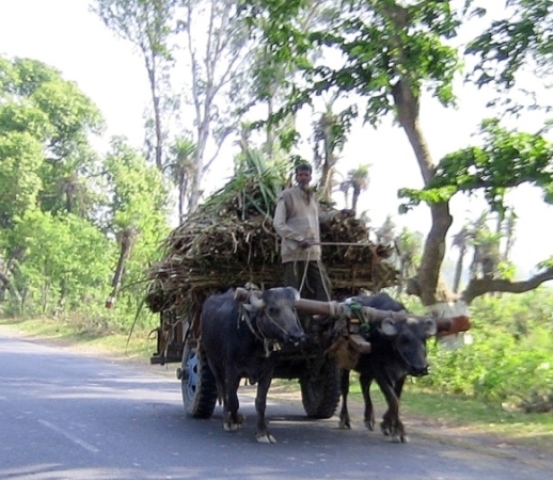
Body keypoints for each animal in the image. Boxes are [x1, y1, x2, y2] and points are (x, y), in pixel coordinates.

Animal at [198, 286, 302, 444]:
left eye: (294, 308)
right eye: (272, 309)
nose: (296, 336)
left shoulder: (268, 372)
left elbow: (260, 402)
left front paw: (262, 432)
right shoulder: (232, 370)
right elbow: (233, 399)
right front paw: (234, 420)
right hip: (212, 362)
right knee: (223, 390)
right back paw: (227, 419)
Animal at [336, 290, 436, 440]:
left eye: (424, 339)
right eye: (404, 339)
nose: (421, 368)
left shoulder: (402, 374)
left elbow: (396, 398)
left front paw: (389, 425)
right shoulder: (379, 372)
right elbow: (392, 399)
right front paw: (398, 429)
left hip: (367, 370)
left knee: (364, 384)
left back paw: (369, 419)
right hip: (345, 365)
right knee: (345, 388)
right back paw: (344, 419)